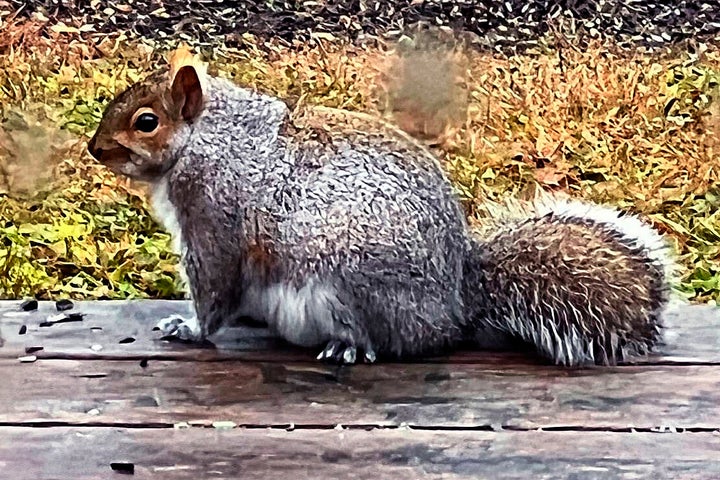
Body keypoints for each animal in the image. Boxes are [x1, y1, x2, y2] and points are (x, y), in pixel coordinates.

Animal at [87, 47, 676, 366]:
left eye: (146, 121)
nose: (94, 149)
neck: (208, 137)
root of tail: (455, 303)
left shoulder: (214, 222)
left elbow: (214, 293)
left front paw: (188, 328)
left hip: (347, 287)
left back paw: (348, 347)